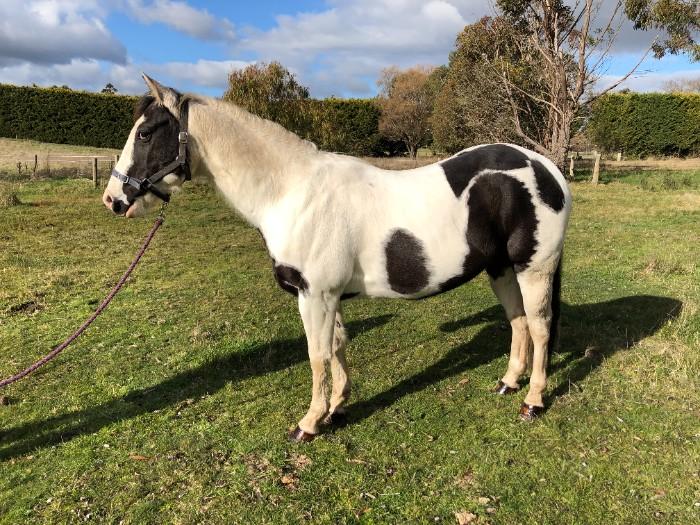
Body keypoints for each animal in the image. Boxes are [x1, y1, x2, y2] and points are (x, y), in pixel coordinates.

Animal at [103, 75, 571, 442]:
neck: (292, 192)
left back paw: (533, 400)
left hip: (534, 268)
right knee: (518, 322)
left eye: (145, 134)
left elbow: (317, 355)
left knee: (540, 326)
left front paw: (309, 423)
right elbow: (337, 347)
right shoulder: (328, 296)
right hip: (501, 268)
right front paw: (337, 408)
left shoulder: (315, 295)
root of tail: (546, 167)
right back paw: (509, 383)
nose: (113, 199)